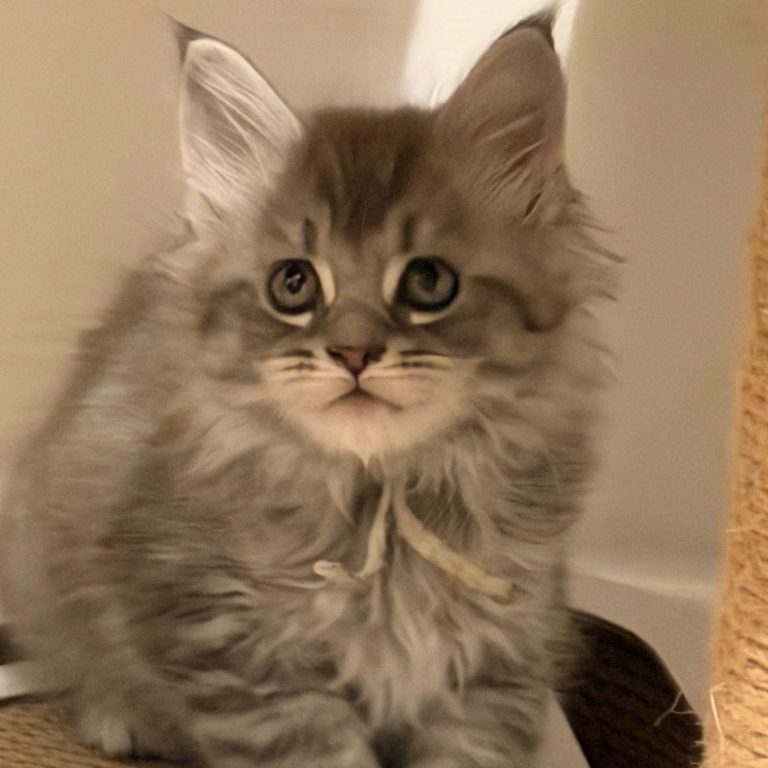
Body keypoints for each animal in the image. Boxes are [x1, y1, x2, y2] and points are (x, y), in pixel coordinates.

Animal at [0, 13, 616, 768]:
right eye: (292, 284)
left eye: (429, 281)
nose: (353, 352)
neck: (382, 503)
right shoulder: (244, 661)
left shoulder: (502, 662)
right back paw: (120, 714)